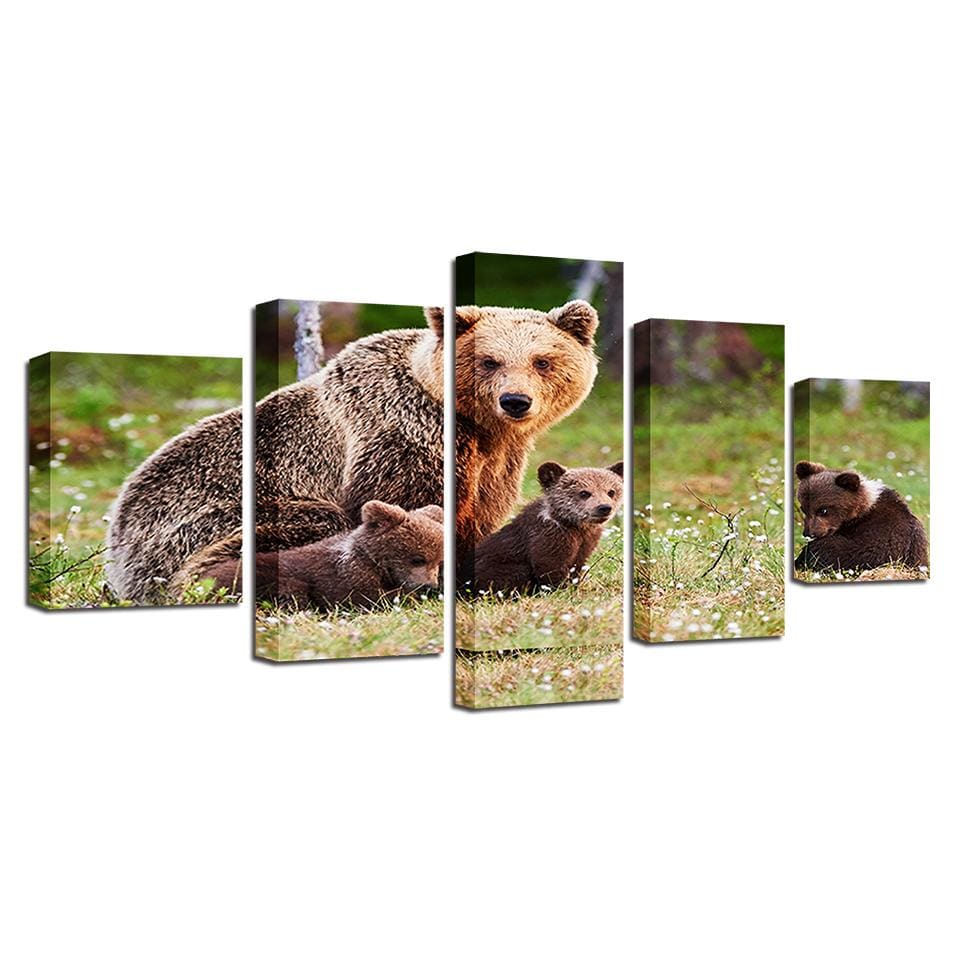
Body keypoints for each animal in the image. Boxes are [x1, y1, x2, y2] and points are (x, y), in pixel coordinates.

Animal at [469, 460, 623, 595]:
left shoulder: (585, 543)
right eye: (584, 492)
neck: (574, 527)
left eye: (611, 491)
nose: (604, 507)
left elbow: (577, 566)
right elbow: (549, 568)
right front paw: (560, 591)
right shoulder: (547, 539)